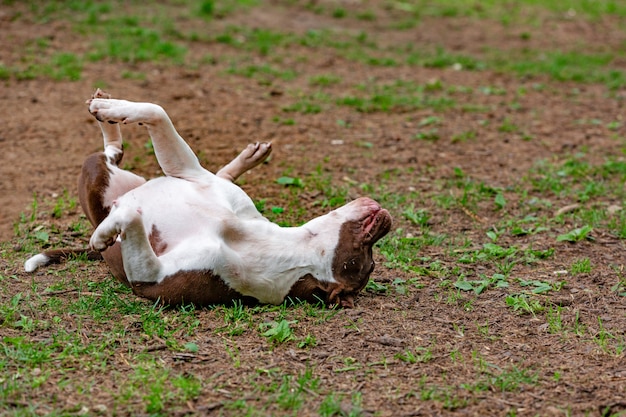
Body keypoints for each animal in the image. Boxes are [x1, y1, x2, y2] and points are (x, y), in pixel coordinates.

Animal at [26, 90, 392, 306]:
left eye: (366, 260)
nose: (387, 220)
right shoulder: (189, 171)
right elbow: (157, 111)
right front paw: (110, 107)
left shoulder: (149, 277)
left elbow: (130, 217)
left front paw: (106, 232)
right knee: (122, 152)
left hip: (93, 175)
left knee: (111, 156)